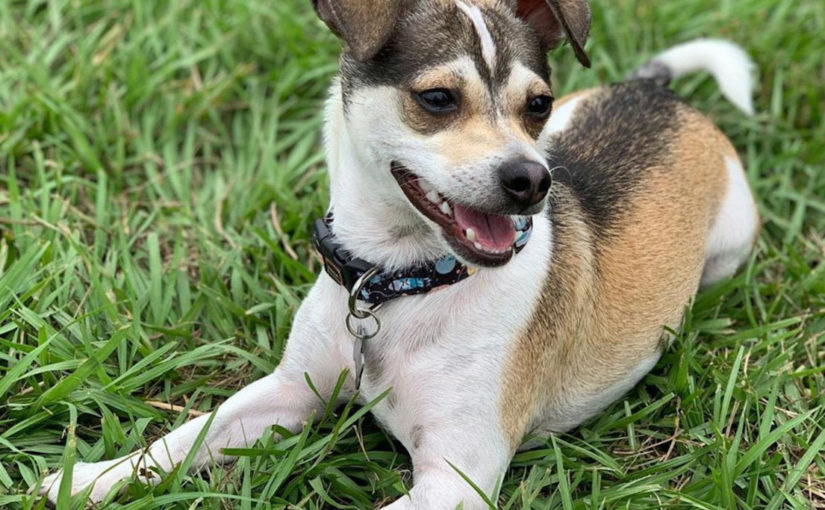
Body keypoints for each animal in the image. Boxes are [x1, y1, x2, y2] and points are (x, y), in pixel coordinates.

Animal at [40, 1, 760, 508]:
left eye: (535, 103)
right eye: (437, 98)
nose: (532, 180)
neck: (399, 282)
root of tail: (660, 92)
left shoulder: (454, 480)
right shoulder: (286, 394)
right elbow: (182, 439)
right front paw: (92, 476)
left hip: (728, 243)